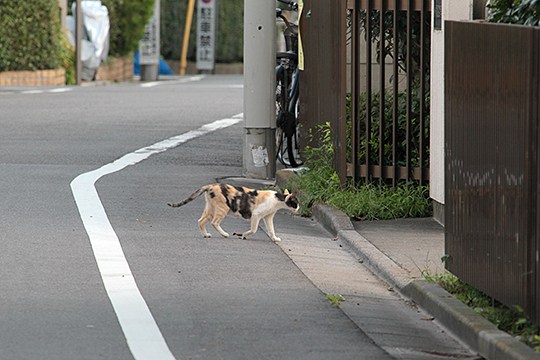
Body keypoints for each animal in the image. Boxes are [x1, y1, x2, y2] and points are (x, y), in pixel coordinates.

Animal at [168, 183, 300, 242]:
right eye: (296, 202)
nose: (299, 208)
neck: (277, 200)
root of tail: (211, 186)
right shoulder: (256, 215)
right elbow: (254, 230)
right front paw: (243, 235)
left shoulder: (268, 217)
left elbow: (271, 229)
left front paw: (274, 238)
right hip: (223, 209)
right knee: (214, 222)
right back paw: (224, 234)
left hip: (210, 209)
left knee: (201, 221)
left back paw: (206, 235)